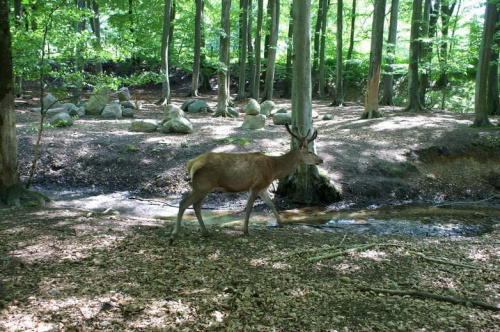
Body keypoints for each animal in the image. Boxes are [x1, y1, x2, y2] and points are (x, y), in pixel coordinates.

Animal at [170, 122, 322, 239]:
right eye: (309, 152)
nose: (321, 160)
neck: (273, 169)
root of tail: (191, 164)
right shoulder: (255, 186)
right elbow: (249, 208)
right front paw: (245, 230)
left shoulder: (263, 188)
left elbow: (272, 204)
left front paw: (281, 223)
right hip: (201, 185)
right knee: (184, 203)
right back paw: (175, 233)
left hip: (204, 187)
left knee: (196, 206)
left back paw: (205, 231)